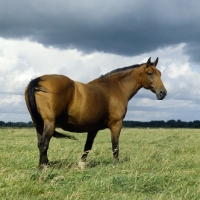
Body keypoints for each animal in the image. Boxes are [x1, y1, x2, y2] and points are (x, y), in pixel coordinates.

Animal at [24, 57, 166, 167]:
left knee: (40, 144)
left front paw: (81, 165)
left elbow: (87, 146)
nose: (163, 93)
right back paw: (44, 168)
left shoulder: (93, 128)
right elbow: (115, 146)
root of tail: (37, 80)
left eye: (159, 73)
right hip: (50, 123)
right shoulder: (116, 124)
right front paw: (116, 165)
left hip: (39, 124)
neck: (115, 88)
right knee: (44, 144)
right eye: (150, 73)